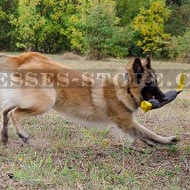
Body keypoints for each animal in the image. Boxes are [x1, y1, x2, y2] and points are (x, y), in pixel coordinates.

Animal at [0, 52, 178, 146]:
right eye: (150, 84)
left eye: (157, 82)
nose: (165, 97)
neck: (124, 89)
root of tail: (24, 57)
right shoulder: (126, 121)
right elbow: (147, 132)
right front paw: (166, 140)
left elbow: (143, 133)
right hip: (45, 101)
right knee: (14, 113)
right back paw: (21, 134)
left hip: (32, 99)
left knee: (6, 109)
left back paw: (5, 136)